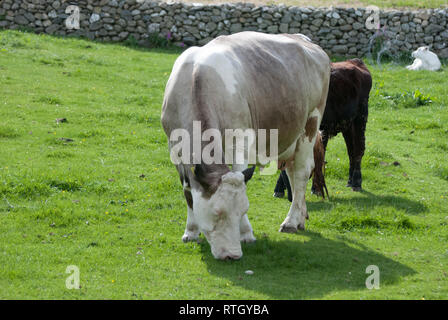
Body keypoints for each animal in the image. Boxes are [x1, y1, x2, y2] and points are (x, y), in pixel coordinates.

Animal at [160, 30, 328, 260]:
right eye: (217, 213)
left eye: (242, 211)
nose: (232, 255)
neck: (196, 80)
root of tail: (304, 39)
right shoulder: (175, 147)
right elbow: (187, 189)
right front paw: (191, 231)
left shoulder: (241, 141)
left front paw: (246, 233)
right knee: (293, 173)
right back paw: (301, 218)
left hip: (311, 124)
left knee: (302, 173)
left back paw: (291, 221)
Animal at [272, 57, 372, 200]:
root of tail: (355, 61)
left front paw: (315, 188)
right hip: (348, 124)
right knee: (351, 151)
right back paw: (349, 181)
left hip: (361, 117)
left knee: (359, 149)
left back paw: (356, 182)